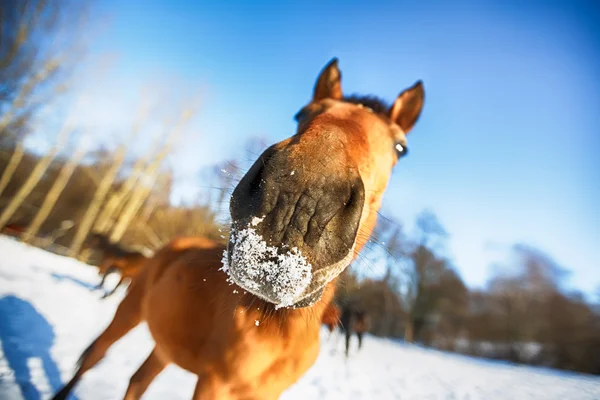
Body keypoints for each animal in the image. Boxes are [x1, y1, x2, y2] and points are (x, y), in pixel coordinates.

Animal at [52, 59, 426, 400]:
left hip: (165, 347)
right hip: (128, 311)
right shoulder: (214, 385)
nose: (297, 203)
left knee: (138, 380)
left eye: (401, 147)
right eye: (301, 113)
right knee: (95, 355)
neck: (273, 325)